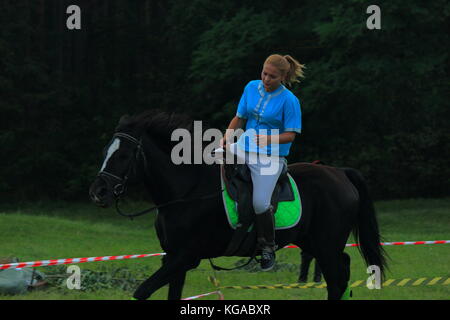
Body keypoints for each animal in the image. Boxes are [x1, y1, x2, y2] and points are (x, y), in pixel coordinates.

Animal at [89, 110, 386, 300]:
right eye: (105, 152)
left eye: (124, 155)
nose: (98, 192)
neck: (188, 190)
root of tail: (339, 173)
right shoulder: (173, 258)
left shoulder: (185, 256)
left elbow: (141, 292)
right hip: (313, 242)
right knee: (341, 271)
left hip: (326, 244)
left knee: (337, 278)